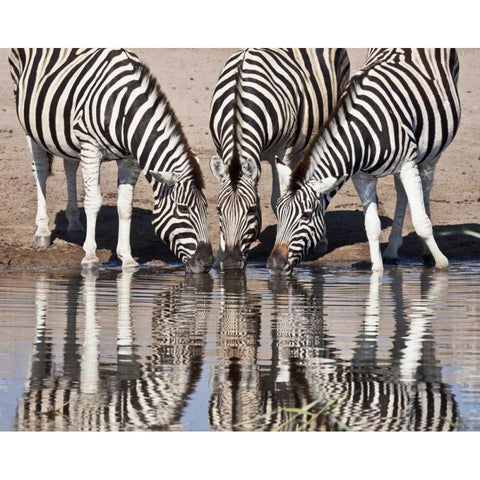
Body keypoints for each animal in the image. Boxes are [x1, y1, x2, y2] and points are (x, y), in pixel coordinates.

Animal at [7, 49, 212, 274]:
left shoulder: (129, 158)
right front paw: (90, 257)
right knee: (41, 169)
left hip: (67, 135)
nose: (207, 262)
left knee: (70, 165)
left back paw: (74, 225)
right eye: (183, 209)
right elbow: (93, 201)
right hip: (29, 120)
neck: (124, 112)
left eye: (206, 208)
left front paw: (127, 259)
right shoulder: (91, 146)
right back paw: (42, 231)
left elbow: (125, 206)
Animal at [208, 50, 350, 272]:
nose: (230, 264)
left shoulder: (284, 152)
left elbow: (278, 200)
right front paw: (218, 260)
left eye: (251, 210)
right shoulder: (221, 149)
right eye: (218, 209)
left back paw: (322, 240)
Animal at [270, 49, 462, 274]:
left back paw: (426, 251)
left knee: (426, 189)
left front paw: (442, 264)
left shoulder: (407, 165)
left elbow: (421, 223)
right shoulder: (363, 176)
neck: (362, 133)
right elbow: (372, 227)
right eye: (278, 212)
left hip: (431, 153)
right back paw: (392, 251)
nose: (274, 264)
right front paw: (377, 272)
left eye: (305, 216)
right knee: (402, 192)